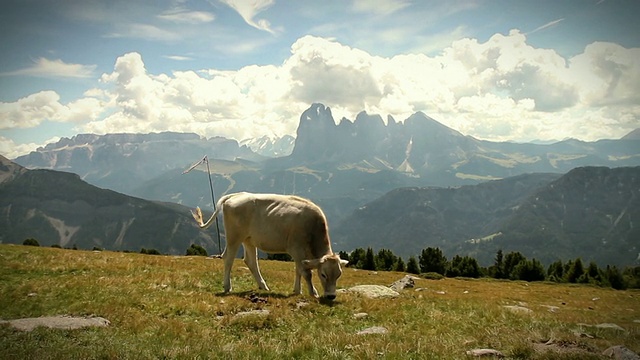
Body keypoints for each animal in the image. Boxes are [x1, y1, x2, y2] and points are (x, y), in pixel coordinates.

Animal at [191, 193, 348, 300]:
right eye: (323, 274)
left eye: (339, 274)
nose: (331, 296)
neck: (313, 229)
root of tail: (237, 194)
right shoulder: (297, 249)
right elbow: (306, 273)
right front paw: (313, 293)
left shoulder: (299, 255)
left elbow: (298, 270)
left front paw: (297, 290)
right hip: (234, 237)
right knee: (228, 259)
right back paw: (227, 286)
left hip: (249, 239)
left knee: (250, 261)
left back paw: (263, 286)